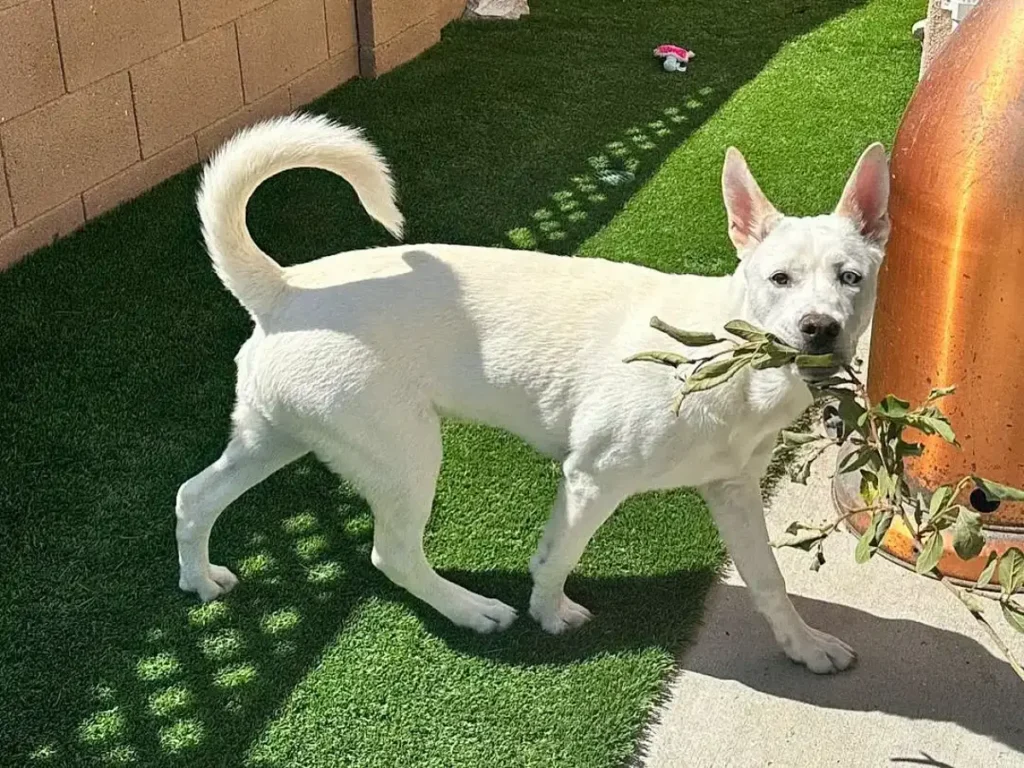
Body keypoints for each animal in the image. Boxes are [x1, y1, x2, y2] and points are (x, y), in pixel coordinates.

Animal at [176, 114, 888, 671]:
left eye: (851, 278)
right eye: (779, 278)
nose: (820, 328)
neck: (727, 361)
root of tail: (284, 289)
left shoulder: (734, 491)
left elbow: (768, 578)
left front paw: (805, 646)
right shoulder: (591, 479)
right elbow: (555, 558)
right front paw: (549, 615)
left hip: (278, 435)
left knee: (193, 496)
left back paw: (199, 579)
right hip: (404, 454)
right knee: (393, 553)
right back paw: (472, 611)